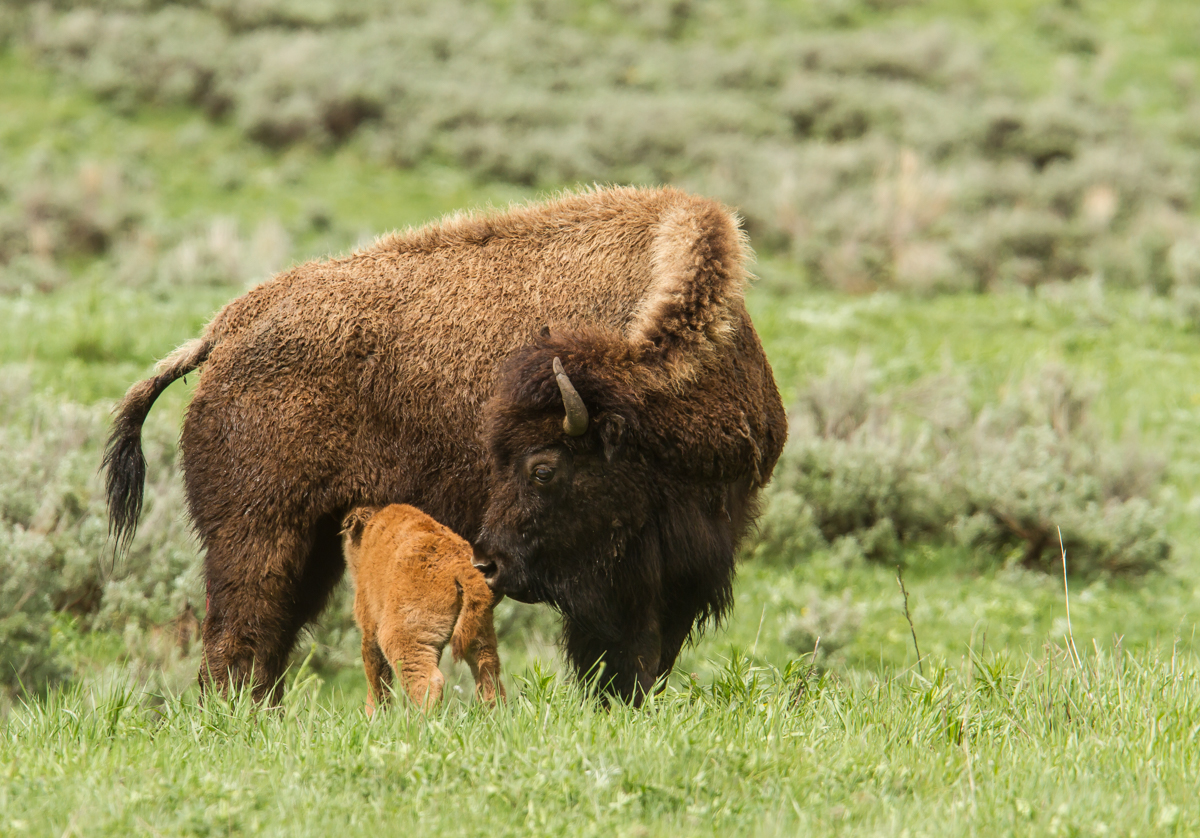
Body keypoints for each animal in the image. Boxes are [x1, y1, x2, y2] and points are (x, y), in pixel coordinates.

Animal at [341, 504, 503, 712]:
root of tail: (461, 565)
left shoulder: (370, 629)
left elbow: (376, 682)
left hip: (397, 635)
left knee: (428, 681)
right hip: (479, 633)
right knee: (489, 675)